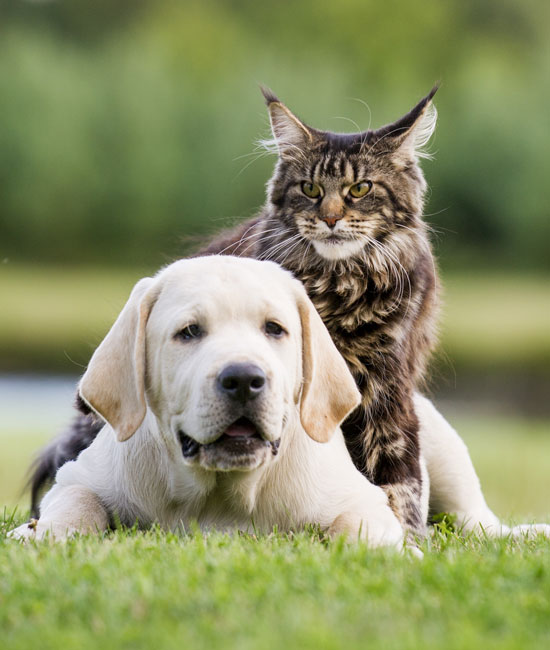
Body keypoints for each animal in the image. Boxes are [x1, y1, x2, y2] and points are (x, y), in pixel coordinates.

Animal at [8, 256, 406, 544]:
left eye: (274, 328)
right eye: (189, 332)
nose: (243, 379)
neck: (220, 496)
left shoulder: (361, 497)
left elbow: (362, 526)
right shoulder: (77, 478)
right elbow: (78, 502)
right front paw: (43, 532)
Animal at [202, 87, 440, 532]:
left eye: (360, 188)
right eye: (310, 189)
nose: (330, 218)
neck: (339, 291)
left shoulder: (389, 390)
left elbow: (400, 481)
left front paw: (407, 536)